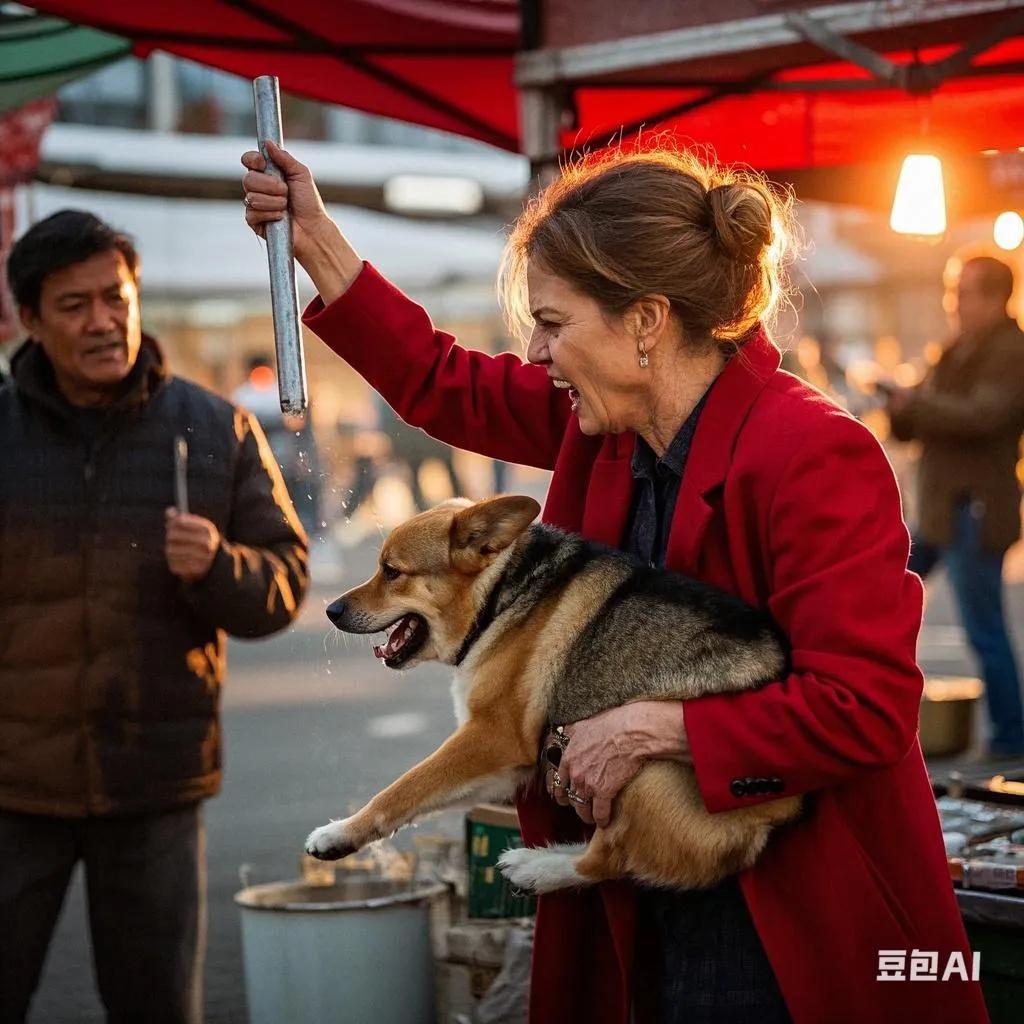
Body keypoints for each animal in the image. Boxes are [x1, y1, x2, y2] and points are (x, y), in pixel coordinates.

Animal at [307, 491, 802, 892]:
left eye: (391, 572)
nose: (330, 610)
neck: (497, 594)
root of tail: (782, 811)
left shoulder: (490, 738)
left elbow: (403, 787)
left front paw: (339, 833)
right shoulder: (504, 764)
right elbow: (420, 794)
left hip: (644, 763)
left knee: (608, 860)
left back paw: (538, 868)